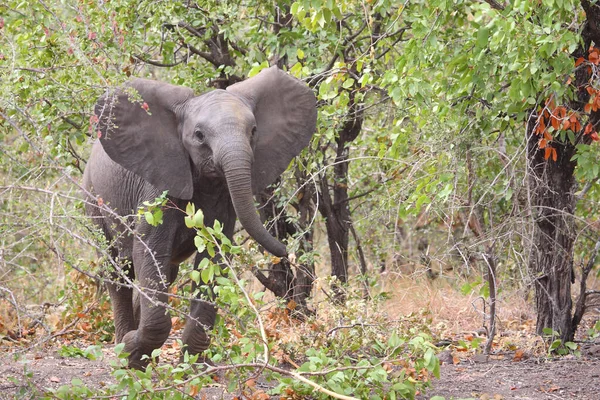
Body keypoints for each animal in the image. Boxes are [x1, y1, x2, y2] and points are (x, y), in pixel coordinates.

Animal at [84, 65, 318, 368]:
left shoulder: (224, 199)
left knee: (165, 272)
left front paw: (194, 364)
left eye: (254, 131)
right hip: (93, 198)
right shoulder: (157, 186)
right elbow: (149, 251)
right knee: (117, 268)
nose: (287, 252)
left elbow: (213, 258)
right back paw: (121, 348)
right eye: (199, 135)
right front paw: (133, 356)